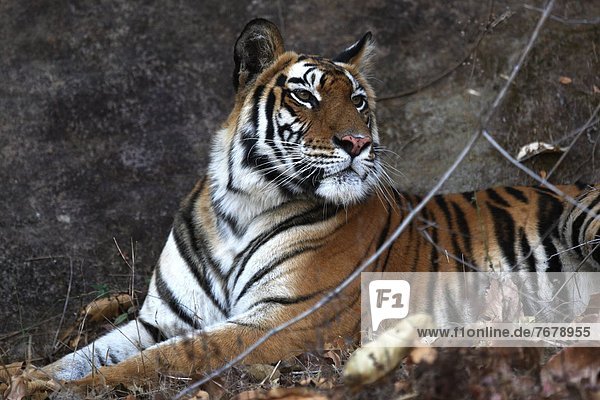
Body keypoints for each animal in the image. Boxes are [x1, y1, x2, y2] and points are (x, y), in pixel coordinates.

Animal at [4, 17, 600, 390]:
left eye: (358, 100)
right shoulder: (159, 317)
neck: (239, 209)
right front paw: (25, 377)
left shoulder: (282, 320)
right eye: (306, 95)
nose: (358, 142)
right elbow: (87, 352)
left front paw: (75, 390)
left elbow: (174, 356)